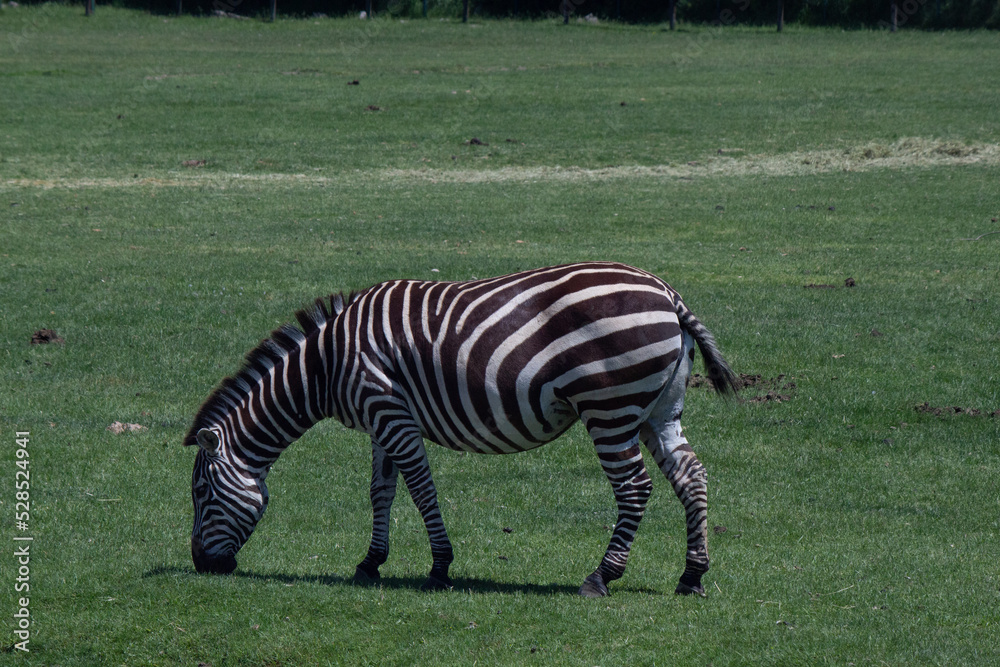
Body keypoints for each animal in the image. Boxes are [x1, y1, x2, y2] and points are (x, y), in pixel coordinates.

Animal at [186, 261, 738, 597]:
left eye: (201, 494)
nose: (201, 566)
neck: (326, 364)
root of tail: (667, 293)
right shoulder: (380, 420)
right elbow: (381, 491)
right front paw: (371, 562)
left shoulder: (388, 409)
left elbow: (421, 489)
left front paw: (439, 567)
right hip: (657, 410)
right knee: (691, 476)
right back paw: (692, 575)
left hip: (610, 408)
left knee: (635, 487)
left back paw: (600, 577)